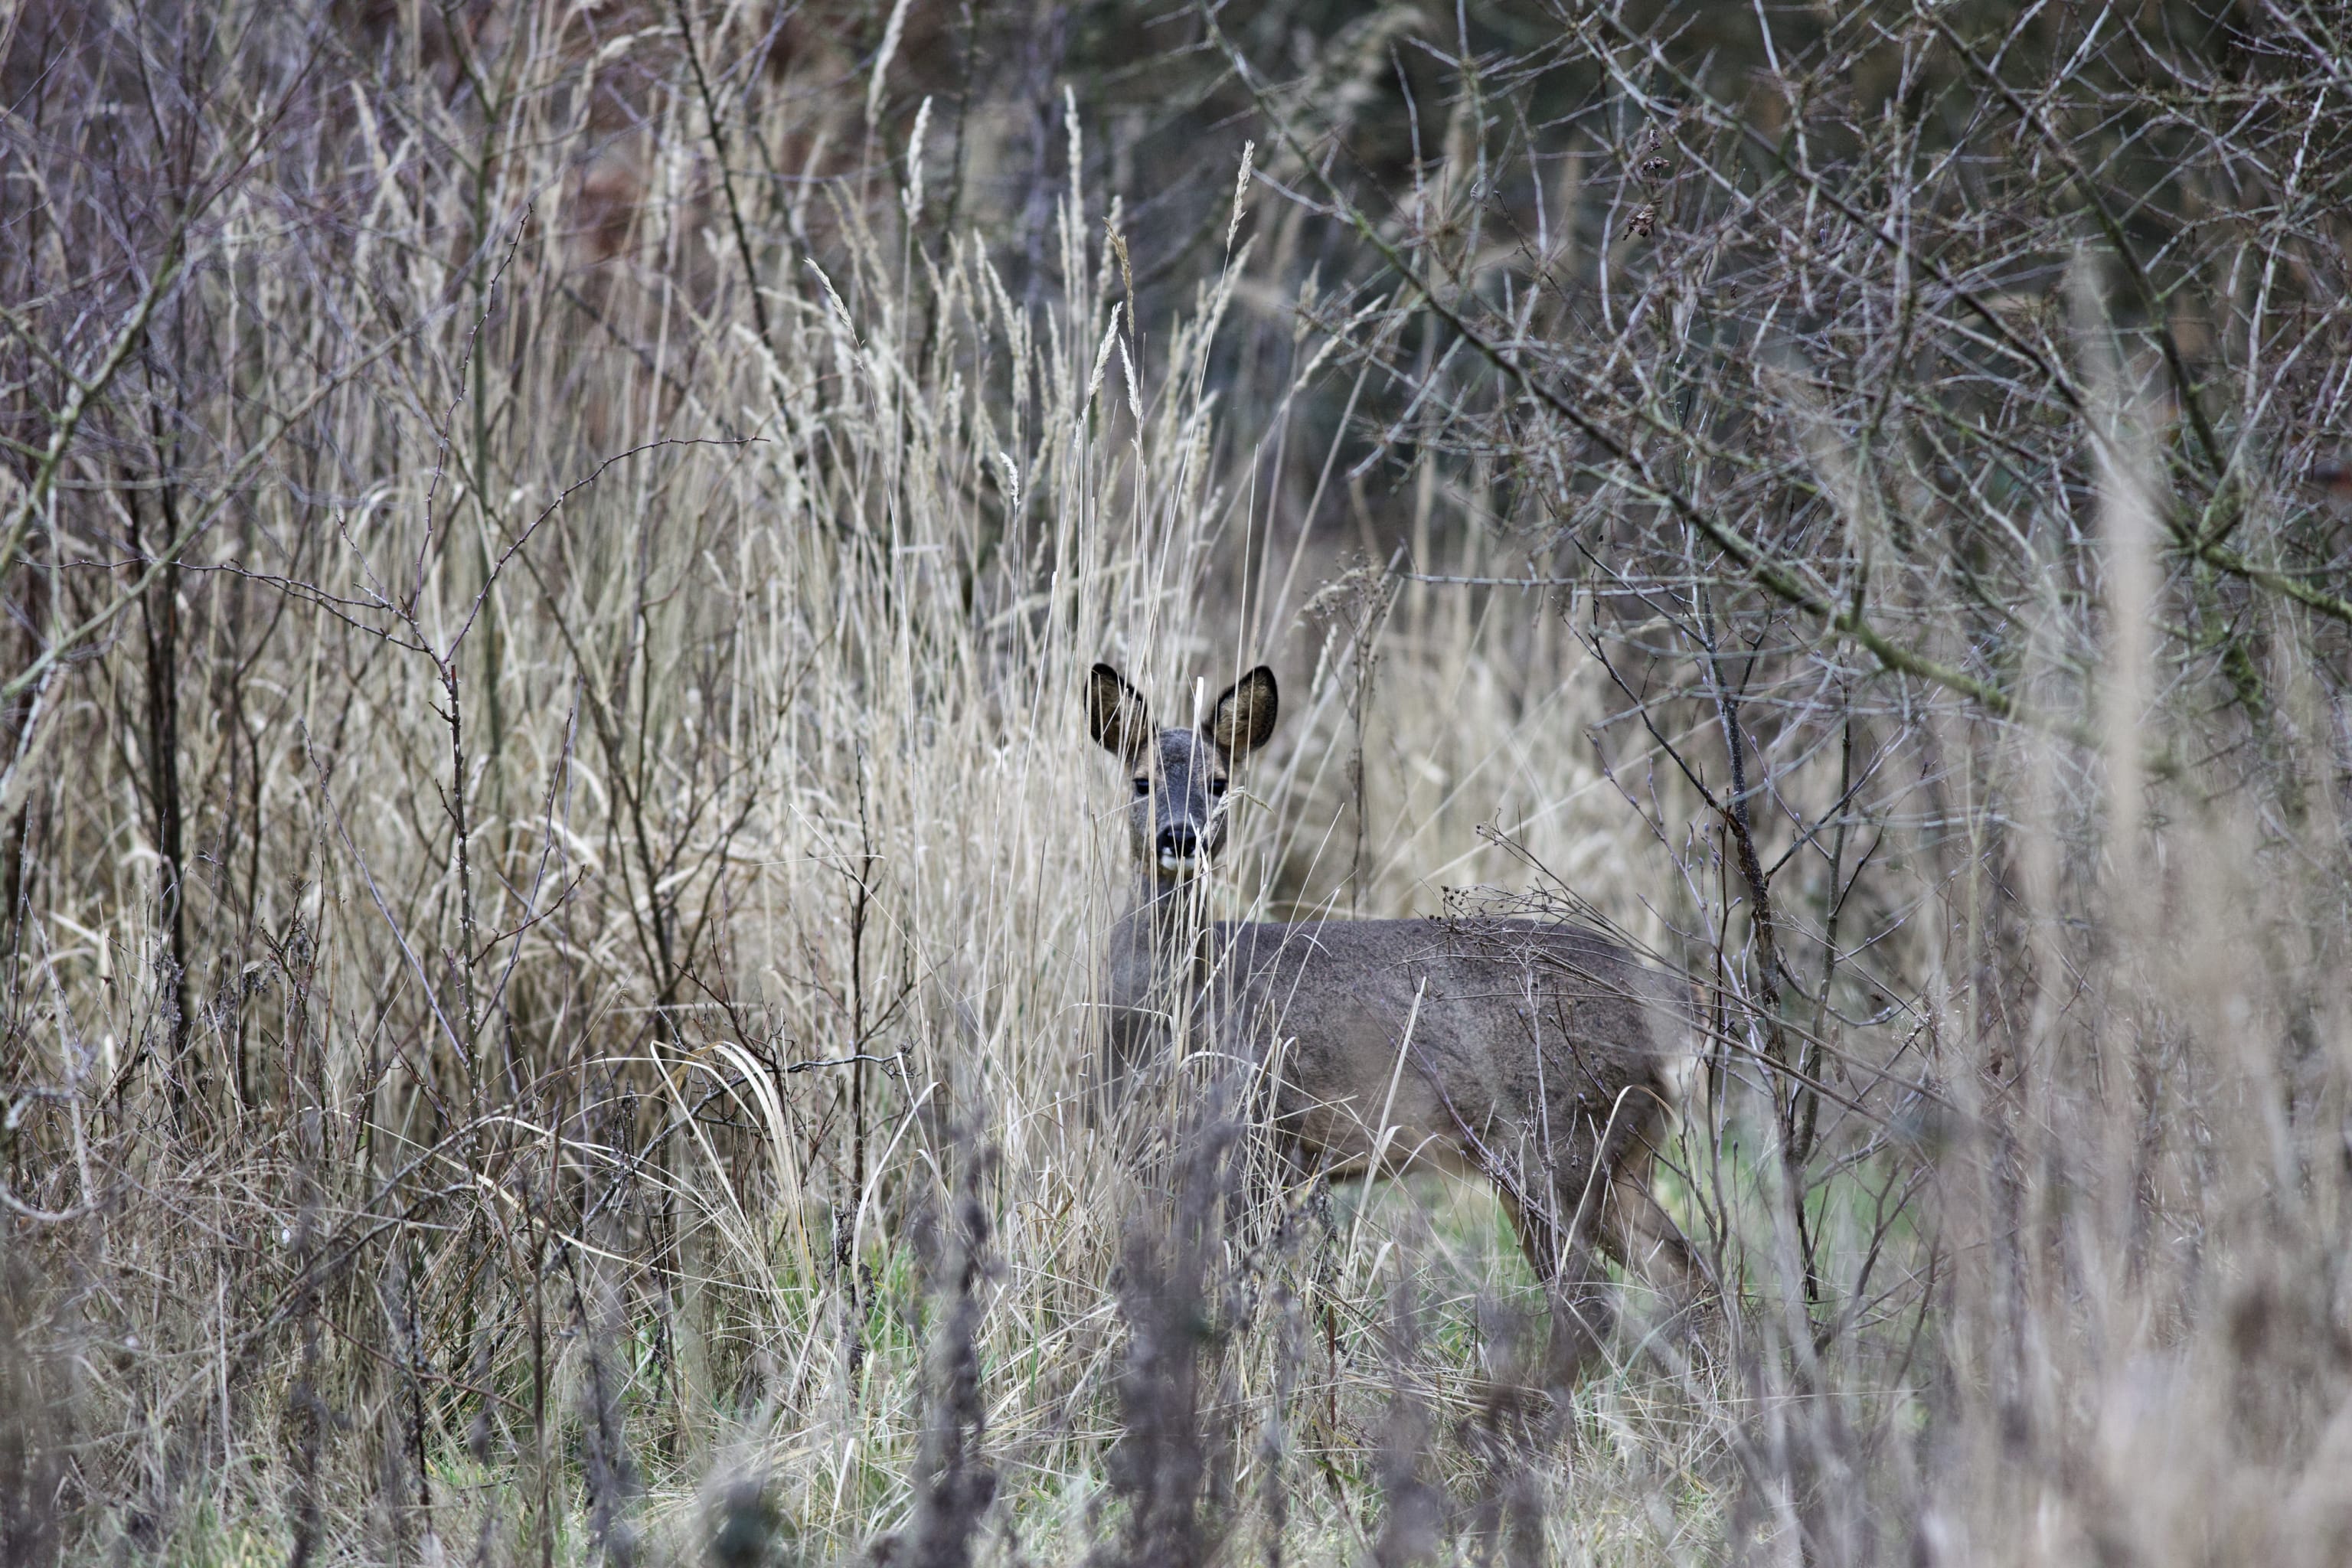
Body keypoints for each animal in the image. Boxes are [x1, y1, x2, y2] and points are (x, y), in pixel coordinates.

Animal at [1091, 668, 1703, 1382]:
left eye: (1219, 782)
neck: (1177, 1008)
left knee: (1591, 1306)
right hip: (1622, 1157)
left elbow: (1243, 1293)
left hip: (1553, 1143)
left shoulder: (1259, 1141)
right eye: (1141, 781)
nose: (1181, 837)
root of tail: (1668, 1011)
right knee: (1689, 1276)